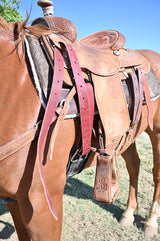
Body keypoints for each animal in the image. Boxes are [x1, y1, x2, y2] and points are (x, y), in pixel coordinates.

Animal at [0, 15, 160, 241]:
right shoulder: (13, 198)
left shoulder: (41, 202)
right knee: (134, 164)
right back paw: (128, 214)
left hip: (157, 132)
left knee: (156, 173)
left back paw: (151, 222)